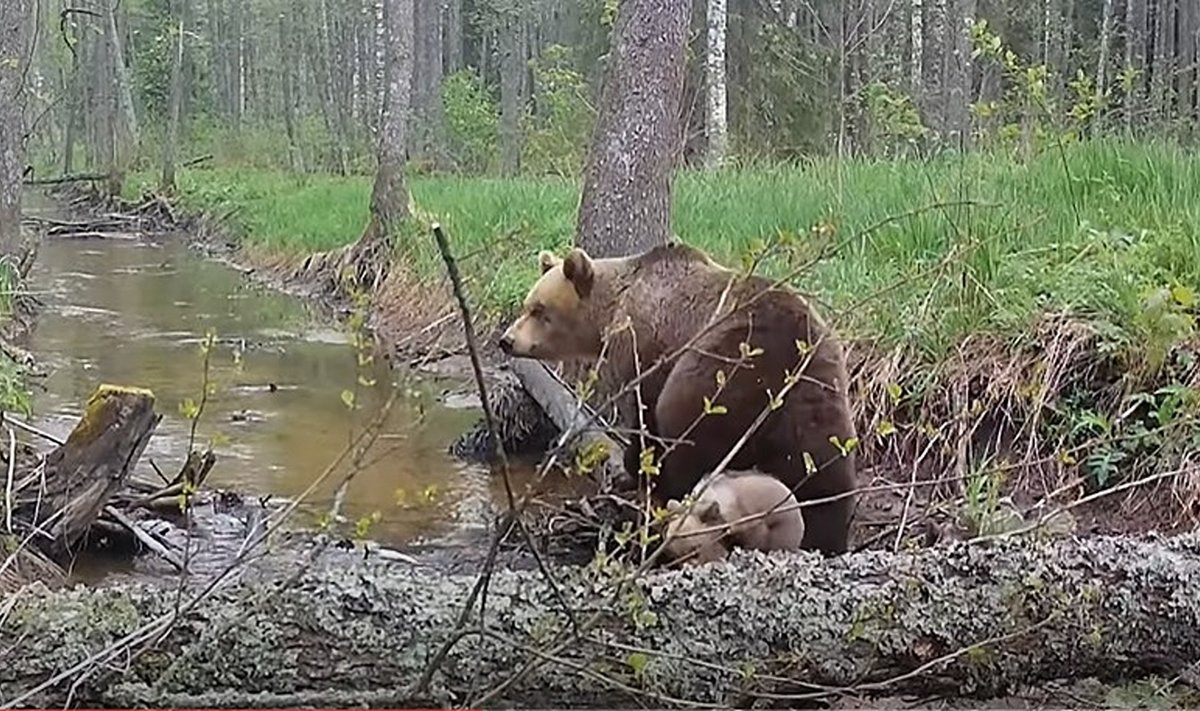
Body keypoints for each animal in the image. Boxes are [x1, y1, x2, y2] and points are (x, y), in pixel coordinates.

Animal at [501, 241, 859, 552]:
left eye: (539, 310)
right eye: (528, 305)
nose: (507, 340)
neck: (614, 309)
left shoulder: (647, 346)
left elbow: (643, 412)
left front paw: (633, 469)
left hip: (713, 374)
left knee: (688, 440)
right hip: (819, 393)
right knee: (824, 473)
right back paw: (827, 537)